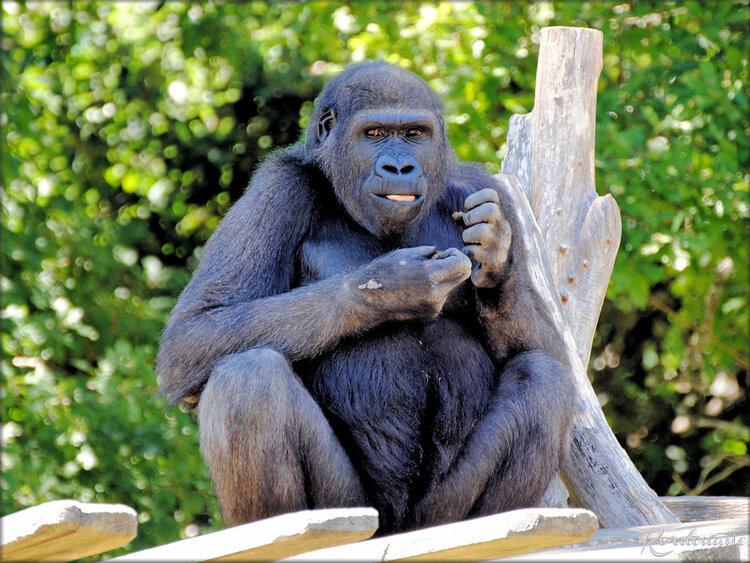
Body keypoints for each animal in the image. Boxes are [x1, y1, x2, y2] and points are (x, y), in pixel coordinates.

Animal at [159, 60, 576, 532]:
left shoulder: (489, 190)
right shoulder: (277, 189)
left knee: (544, 376)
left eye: (414, 133)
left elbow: (549, 351)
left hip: (433, 516)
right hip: (356, 510)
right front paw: (392, 287)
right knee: (248, 377)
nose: (399, 167)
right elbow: (196, 330)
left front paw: (495, 253)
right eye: (374, 133)